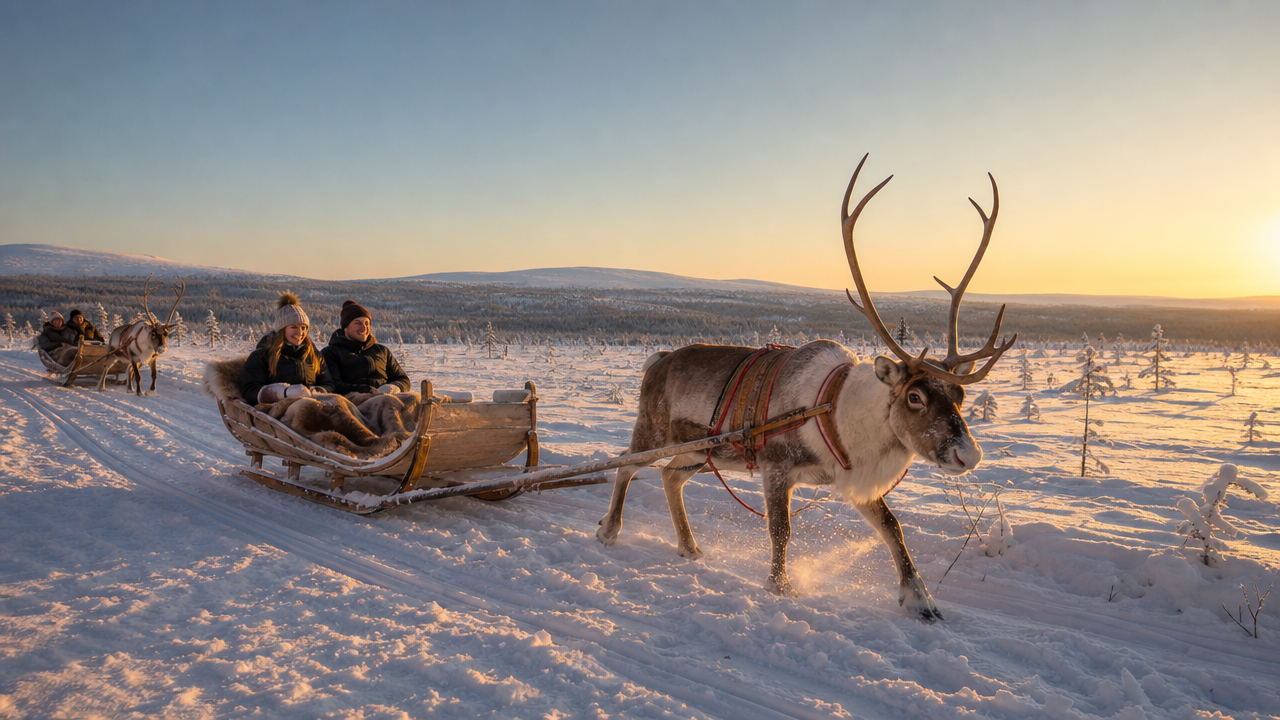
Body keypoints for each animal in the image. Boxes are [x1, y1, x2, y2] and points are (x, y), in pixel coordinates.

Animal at [596, 154, 1016, 620]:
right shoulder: (777, 468)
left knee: (671, 478)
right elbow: (781, 531)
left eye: (959, 395)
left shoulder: (853, 479)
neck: (836, 412)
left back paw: (690, 547)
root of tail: (658, 360)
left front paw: (920, 599)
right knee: (624, 464)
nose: (969, 456)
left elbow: (893, 527)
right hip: (654, 433)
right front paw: (780, 586)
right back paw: (610, 530)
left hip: (700, 453)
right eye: (915, 396)